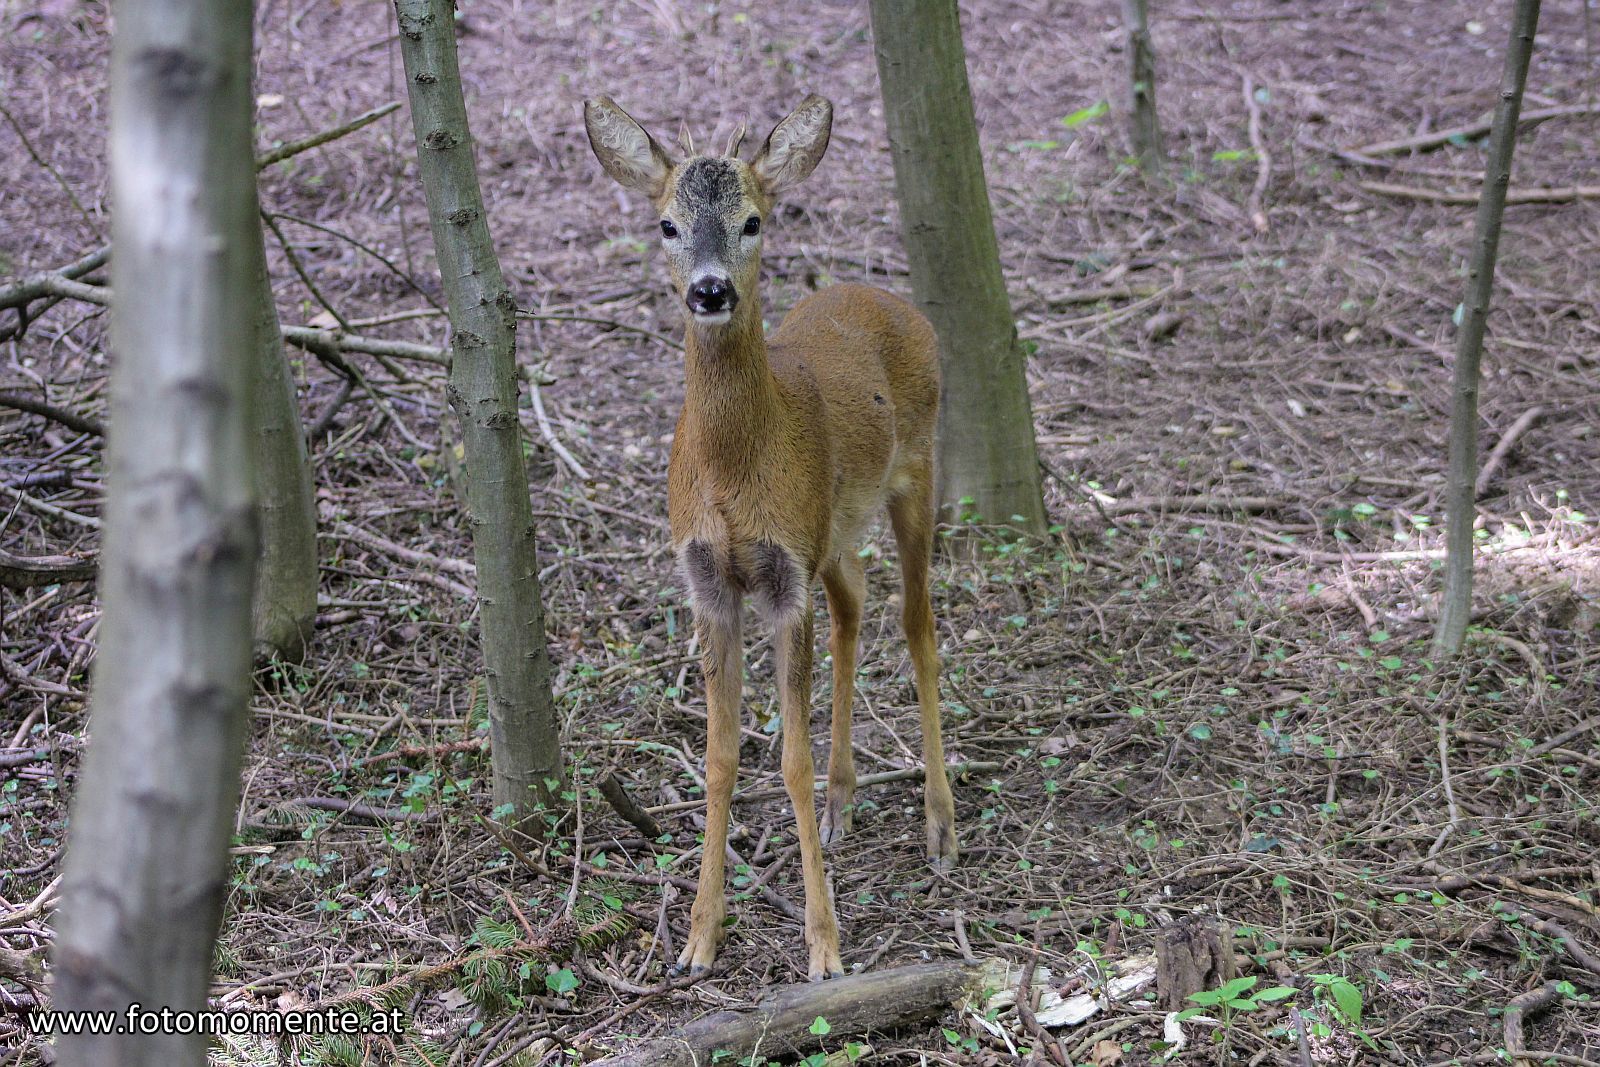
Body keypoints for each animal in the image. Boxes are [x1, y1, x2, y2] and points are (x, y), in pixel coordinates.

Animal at [588, 95, 960, 979]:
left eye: (753, 220)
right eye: (666, 224)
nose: (710, 289)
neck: (731, 469)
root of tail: (886, 296)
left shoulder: (785, 580)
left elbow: (786, 758)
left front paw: (825, 946)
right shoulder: (710, 581)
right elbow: (721, 756)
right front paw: (698, 936)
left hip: (918, 472)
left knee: (919, 625)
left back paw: (940, 826)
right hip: (832, 530)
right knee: (855, 604)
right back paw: (843, 802)